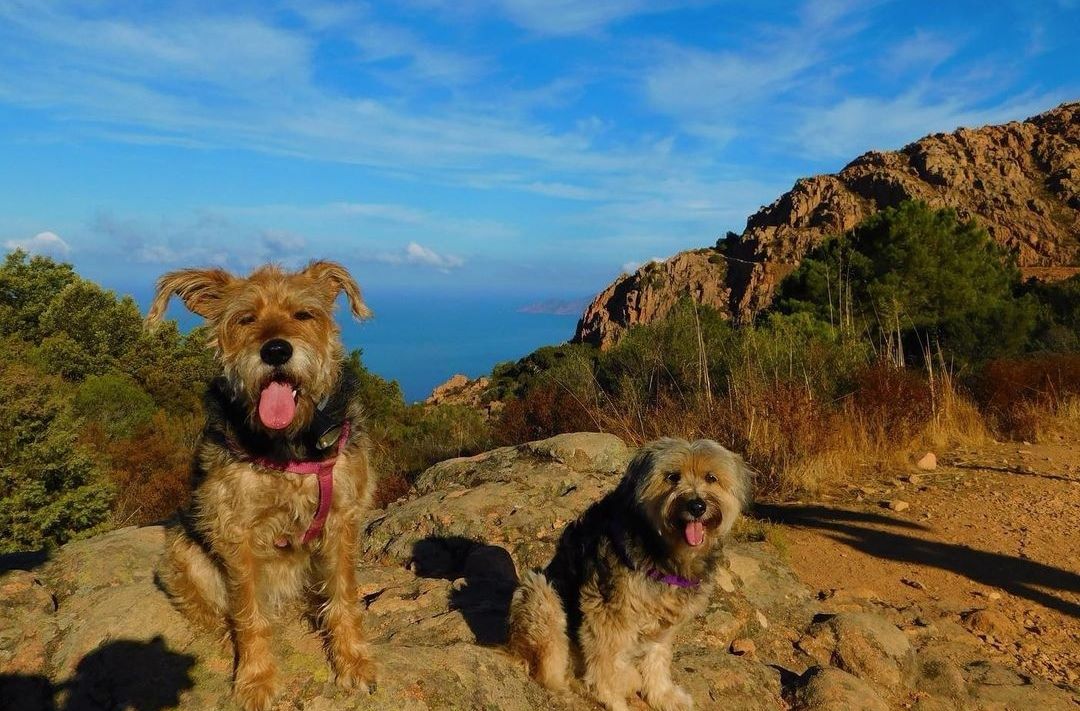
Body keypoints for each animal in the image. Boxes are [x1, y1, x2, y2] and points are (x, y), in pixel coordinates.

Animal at [145, 260, 378, 708]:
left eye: (303, 314)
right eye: (246, 318)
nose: (275, 351)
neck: (289, 444)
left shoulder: (342, 520)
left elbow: (343, 598)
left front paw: (353, 661)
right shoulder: (235, 531)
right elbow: (248, 614)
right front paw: (256, 679)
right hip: (179, 553)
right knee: (220, 615)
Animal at [507, 434, 751, 704]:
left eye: (711, 477)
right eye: (672, 477)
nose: (696, 506)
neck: (665, 549)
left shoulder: (664, 620)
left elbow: (657, 657)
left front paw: (662, 695)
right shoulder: (606, 611)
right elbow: (605, 661)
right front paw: (611, 698)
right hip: (540, 595)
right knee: (550, 671)